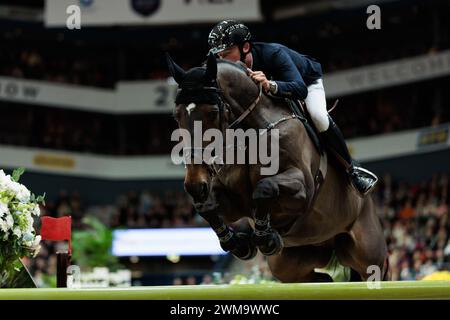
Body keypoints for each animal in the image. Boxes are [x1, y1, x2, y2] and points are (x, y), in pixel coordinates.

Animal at [167, 53, 388, 282]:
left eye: (212, 112)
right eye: (176, 115)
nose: (194, 184)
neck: (251, 133)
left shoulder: (303, 189)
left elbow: (264, 188)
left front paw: (264, 238)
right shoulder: (235, 202)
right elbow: (206, 207)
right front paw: (238, 244)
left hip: (369, 254)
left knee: (372, 272)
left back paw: (360, 179)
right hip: (291, 263)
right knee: (320, 279)